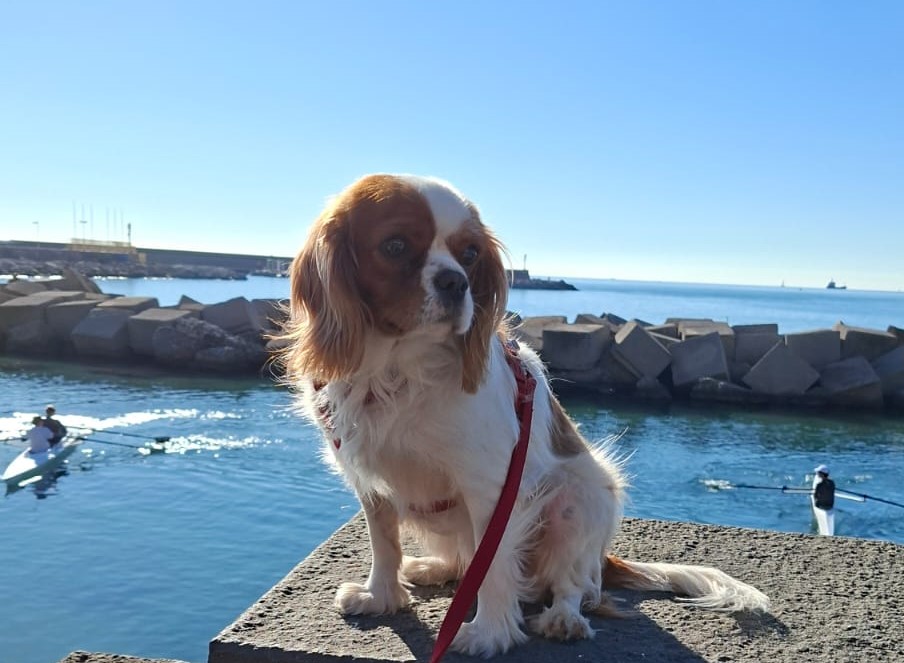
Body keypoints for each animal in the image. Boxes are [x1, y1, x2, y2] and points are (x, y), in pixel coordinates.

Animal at [280, 174, 769, 657]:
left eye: (470, 255)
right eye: (396, 246)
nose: (456, 282)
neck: (397, 366)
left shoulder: (494, 486)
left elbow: (494, 562)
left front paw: (489, 634)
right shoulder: (370, 480)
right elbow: (383, 542)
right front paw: (380, 596)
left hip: (579, 501)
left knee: (578, 586)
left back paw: (562, 619)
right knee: (468, 562)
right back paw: (436, 567)